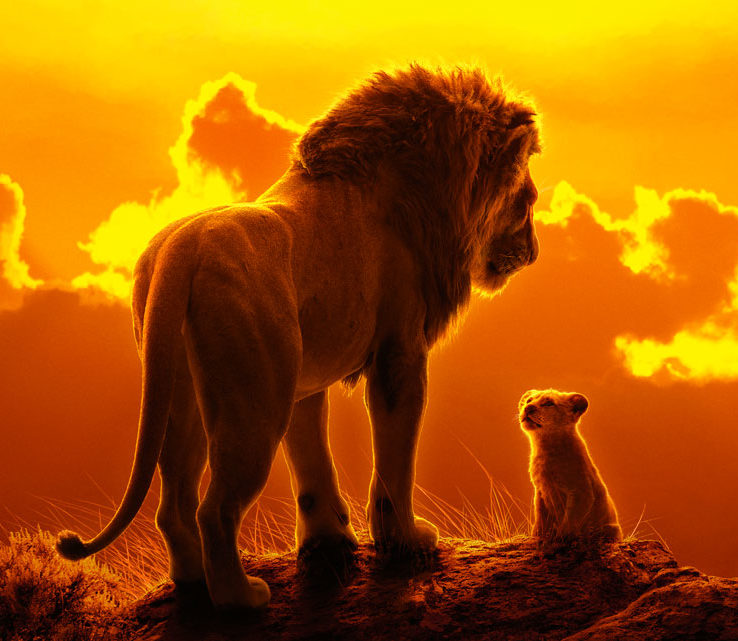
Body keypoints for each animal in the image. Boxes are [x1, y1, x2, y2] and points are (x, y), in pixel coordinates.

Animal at [57, 64, 541, 609]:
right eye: (527, 201)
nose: (534, 252)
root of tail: (181, 251)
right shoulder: (399, 353)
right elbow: (394, 461)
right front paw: (407, 541)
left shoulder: (303, 377)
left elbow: (311, 462)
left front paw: (328, 540)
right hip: (254, 403)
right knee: (215, 509)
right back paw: (241, 598)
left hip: (183, 394)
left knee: (175, 504)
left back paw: (193, 583)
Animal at [519, 389, 623, 543]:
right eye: (529, 400)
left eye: (549, 403)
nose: (528, 408)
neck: (544, 446)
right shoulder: (540, 492)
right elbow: (540, 519)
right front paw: (538, 536)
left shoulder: (581, 491)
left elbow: (570, 521)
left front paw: (560, 539)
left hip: (611, 529)